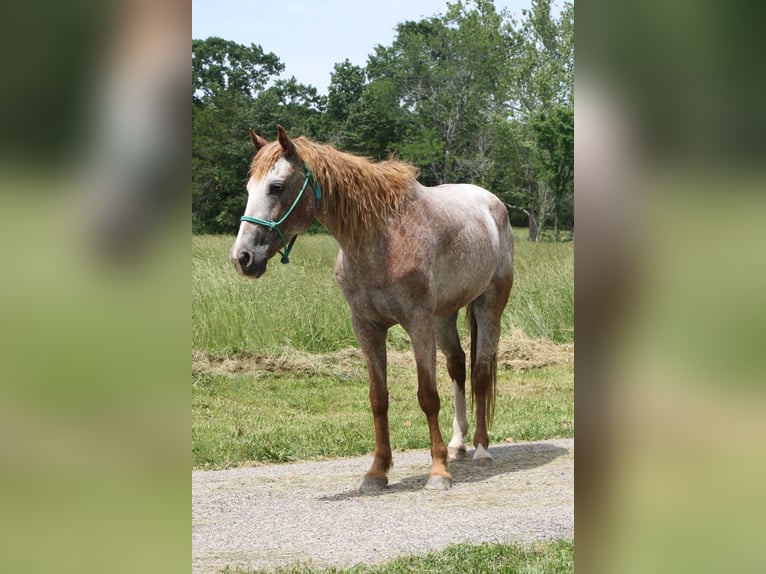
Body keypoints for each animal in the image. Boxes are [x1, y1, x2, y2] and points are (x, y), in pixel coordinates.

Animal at [230, 126, 514, 491]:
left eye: (276, 187)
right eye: (249, 188)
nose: (243, 258)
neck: (382, 240)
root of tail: (492, 203)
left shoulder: (417, 324)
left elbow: (428, 396)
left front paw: (437, 472)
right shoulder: (367, 327)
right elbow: (378, 399)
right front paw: (377, 471)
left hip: (488, 305)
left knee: (480, 373)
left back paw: (481, 449)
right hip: (444, 316)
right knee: (458, 366)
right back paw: (457, 444)